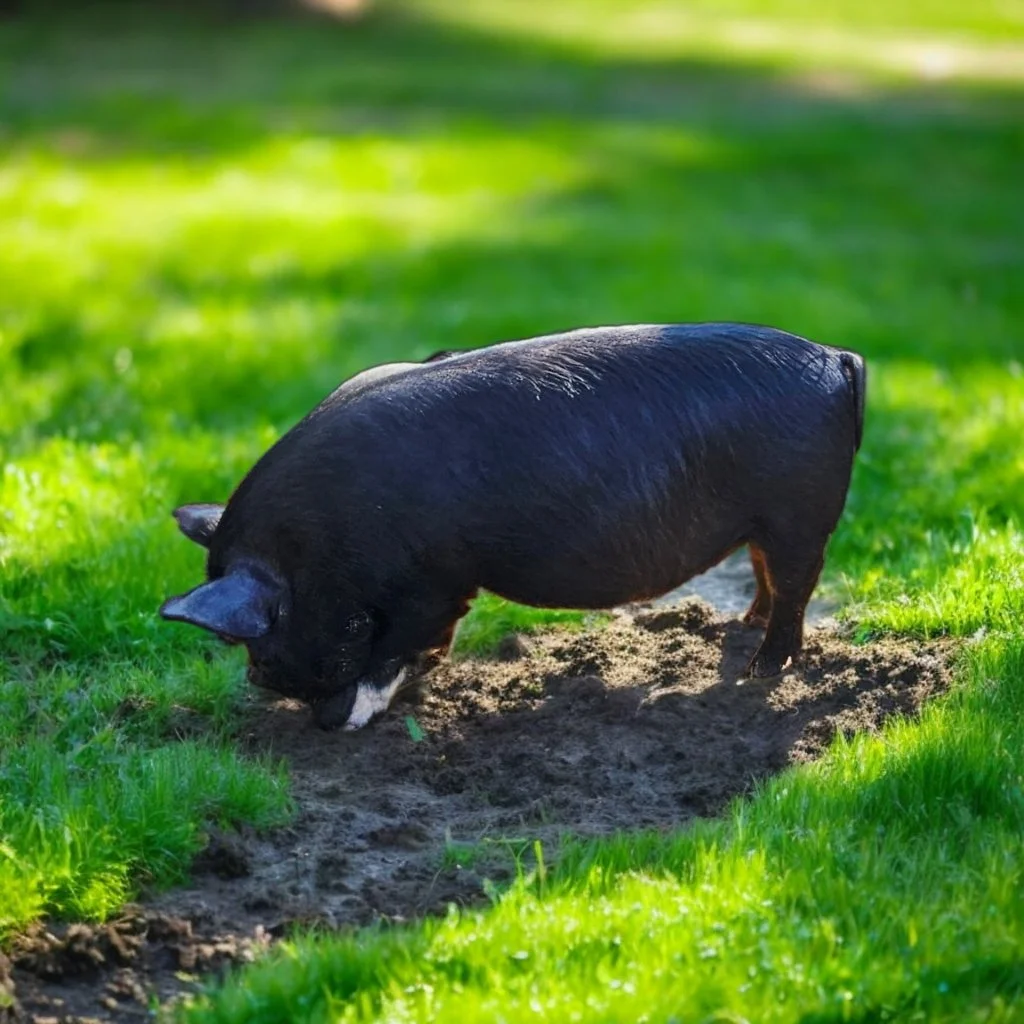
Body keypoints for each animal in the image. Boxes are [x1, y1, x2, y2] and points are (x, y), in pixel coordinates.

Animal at [160, 323, 865, 730]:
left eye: (268, 636)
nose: (318, 720)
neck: (318, 548)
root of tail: (835, 357)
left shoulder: (431, 584)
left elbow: (398, 647)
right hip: (769, 520)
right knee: (765, 574)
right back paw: (743, 628)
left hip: (799, 514)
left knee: (796, 586)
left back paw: (760, 672)